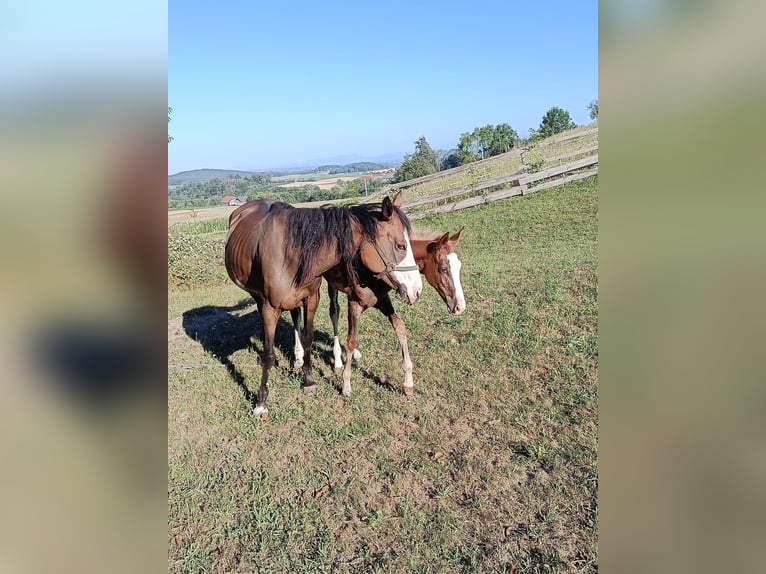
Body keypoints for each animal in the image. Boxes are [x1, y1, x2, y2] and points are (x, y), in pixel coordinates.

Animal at [224, 193, 422, 418]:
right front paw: (260, 403)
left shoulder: (316, 299)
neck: (293, 253)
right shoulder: (271, 308)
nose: (417, 291)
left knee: (298, 315)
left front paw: (308, 380)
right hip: (264, 298)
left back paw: (301, 357)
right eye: (400, 246)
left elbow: (310, 337)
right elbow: (268, 352)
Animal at [291, 228, 466, 397]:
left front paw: (408, 383)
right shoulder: (354, 304)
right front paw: (346, 386)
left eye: (459, 267)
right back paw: (308, 357)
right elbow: (351, 340)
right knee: (326, 312)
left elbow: (400, 328)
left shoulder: (383, 300)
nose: (460, 307)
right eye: (443, 269)